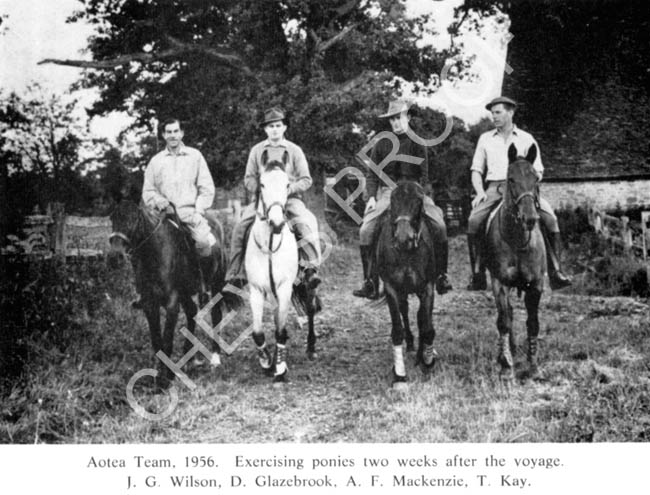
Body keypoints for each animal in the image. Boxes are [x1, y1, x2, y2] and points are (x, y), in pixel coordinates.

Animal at [107, 200, 227, 390]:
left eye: (134, 218)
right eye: (112, 217)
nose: (114, 257)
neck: (155, 254)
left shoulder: (172, 303)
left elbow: (167, 339)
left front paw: (166, 378)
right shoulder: (150, 304)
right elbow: (157, 341)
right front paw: (158, 377)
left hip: (215, 285)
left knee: (216, 315)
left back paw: (215, 358)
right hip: (185, 294)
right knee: (192, 312)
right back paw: (188, 359)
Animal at [244, 150, 320, 384]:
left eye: (287, 184)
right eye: (262, 184)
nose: (276, 223)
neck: (270, 245)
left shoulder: (285, 287)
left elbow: (280, 330)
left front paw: (280, 368)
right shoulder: (257, 290)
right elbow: (258, 331)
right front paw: (266, 361)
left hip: (308, 284)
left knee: (310, 309)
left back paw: (311, 347)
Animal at [374, 180, 436, 390]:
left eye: (418, 201)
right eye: (392, 200)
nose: (403, 238)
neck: (406, 253)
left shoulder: (427, 288)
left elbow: (427, 327)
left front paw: (427, 362)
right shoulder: (392, 289)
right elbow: (397, 330)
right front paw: (399, 375)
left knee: (421, 318)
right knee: (405, 312)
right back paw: (410, 345)